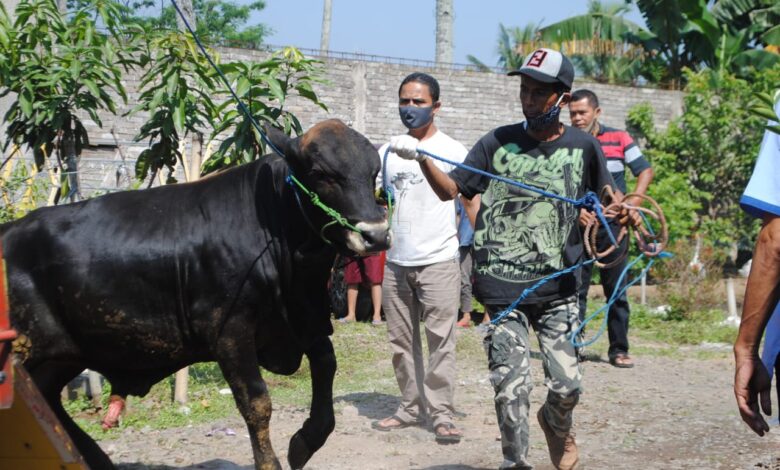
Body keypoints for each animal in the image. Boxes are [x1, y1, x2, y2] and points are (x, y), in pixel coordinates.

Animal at [0, 119, 390, 468]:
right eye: (322, 173)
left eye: (374, 173)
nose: (376, 235)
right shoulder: (230, 333)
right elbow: (257, 404)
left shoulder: (302, 319)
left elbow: (326, 363)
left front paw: (306, 440)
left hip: (61, 356)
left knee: (47, 402)